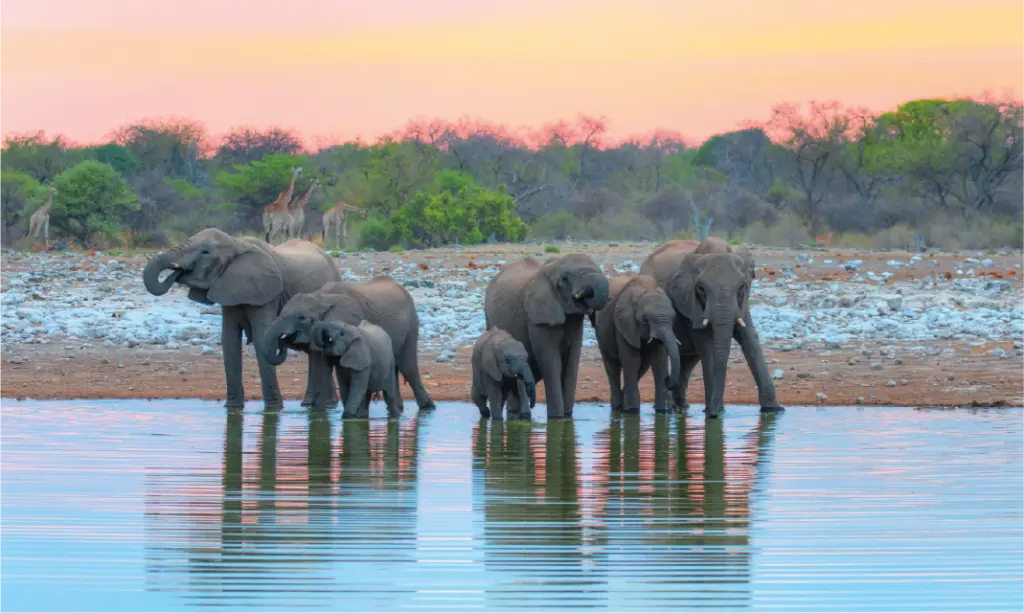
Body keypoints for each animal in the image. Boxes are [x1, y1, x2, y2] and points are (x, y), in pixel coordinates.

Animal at [142, 228, 341, 410]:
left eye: (205, 251)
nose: (177, 272)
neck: (236, 244)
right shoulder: (229, 288)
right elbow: (229, 340)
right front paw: (232, 408)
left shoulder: (267, 294)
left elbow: (260, 339)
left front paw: (273, 409)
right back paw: (316, 405)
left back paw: (323, 406)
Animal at [260, 277, 435, 412]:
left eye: (301, 318)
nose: (283, 339)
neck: (321, 298)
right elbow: (321, 367)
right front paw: (316, 414)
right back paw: (399, 408)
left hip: (411, 326)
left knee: (408, 367)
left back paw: (428, 408)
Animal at [484, 254, 610, 419]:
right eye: (564, 278)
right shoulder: (537, 318)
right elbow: (550, 360)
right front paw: (557, 417)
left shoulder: (575, 320)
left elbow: (572, 359)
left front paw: (567, 416)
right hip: (489, 317)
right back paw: (521, 414)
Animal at [592, 274, 683, 414]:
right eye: (645, 320)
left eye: (673, 318)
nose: (668, 380)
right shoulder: (623, 323)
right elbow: (631, 360)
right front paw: (632, 411)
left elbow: (659, 360)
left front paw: (664, 411)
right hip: (602, 333)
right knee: (612, 365)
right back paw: (617, 406)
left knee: (643, 365)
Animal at [640, 237, 783, 417]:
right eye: (701, 288)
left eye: (742, 287)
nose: (715, 412)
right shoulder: (690, 302)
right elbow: (707, 346)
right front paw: (715, 413)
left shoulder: (742, 303)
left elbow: (750, 339)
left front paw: (773, 411)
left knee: (688, 359)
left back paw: (681, 407)